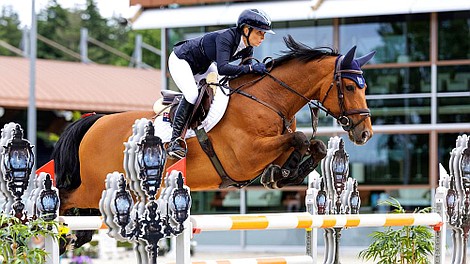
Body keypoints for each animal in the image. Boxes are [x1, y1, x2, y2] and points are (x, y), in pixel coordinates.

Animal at [50, 36, 374, 249]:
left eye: (364, 86)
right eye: (349, 87)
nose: (365, 134)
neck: (269, 100)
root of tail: (94, 121)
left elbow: (311, 146)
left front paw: (282, 174)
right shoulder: (245, 157)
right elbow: (298, 138)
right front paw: (280, 174)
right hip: (93, 187)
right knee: (65, 197)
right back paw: (61, 234)